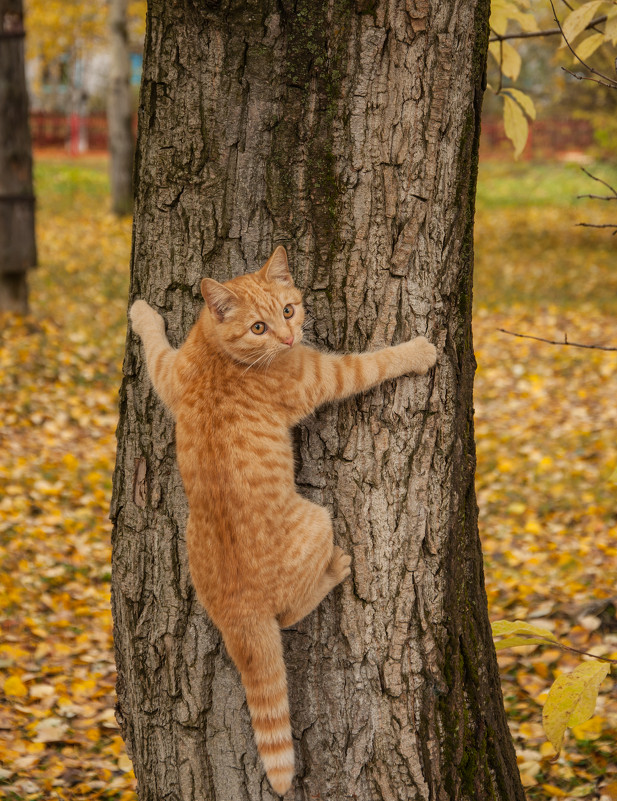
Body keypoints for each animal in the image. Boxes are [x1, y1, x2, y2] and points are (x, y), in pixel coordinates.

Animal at [130, 247, 438, 796]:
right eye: (259, 326)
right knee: (291, 613)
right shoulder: (327, 376)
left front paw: (141, 312)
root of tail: (239, 610)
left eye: (289, 310)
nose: (290, 336)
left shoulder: (170, 376)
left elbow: (154, 342)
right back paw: (337, 569)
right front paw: (418, 351)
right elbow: (374, 362)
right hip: (320, 519)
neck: (221, 353)